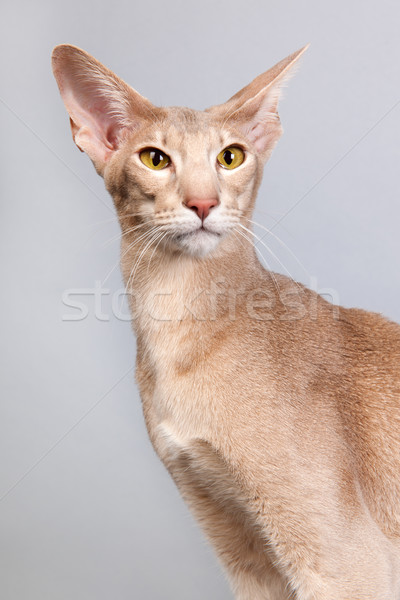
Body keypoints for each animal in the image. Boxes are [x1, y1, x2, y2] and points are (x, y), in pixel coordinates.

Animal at [50, 44, 400, 596]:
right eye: (155, 158)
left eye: (230, 157)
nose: (203, 203)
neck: (177, 326)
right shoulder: (238, 542)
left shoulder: (351, 564)